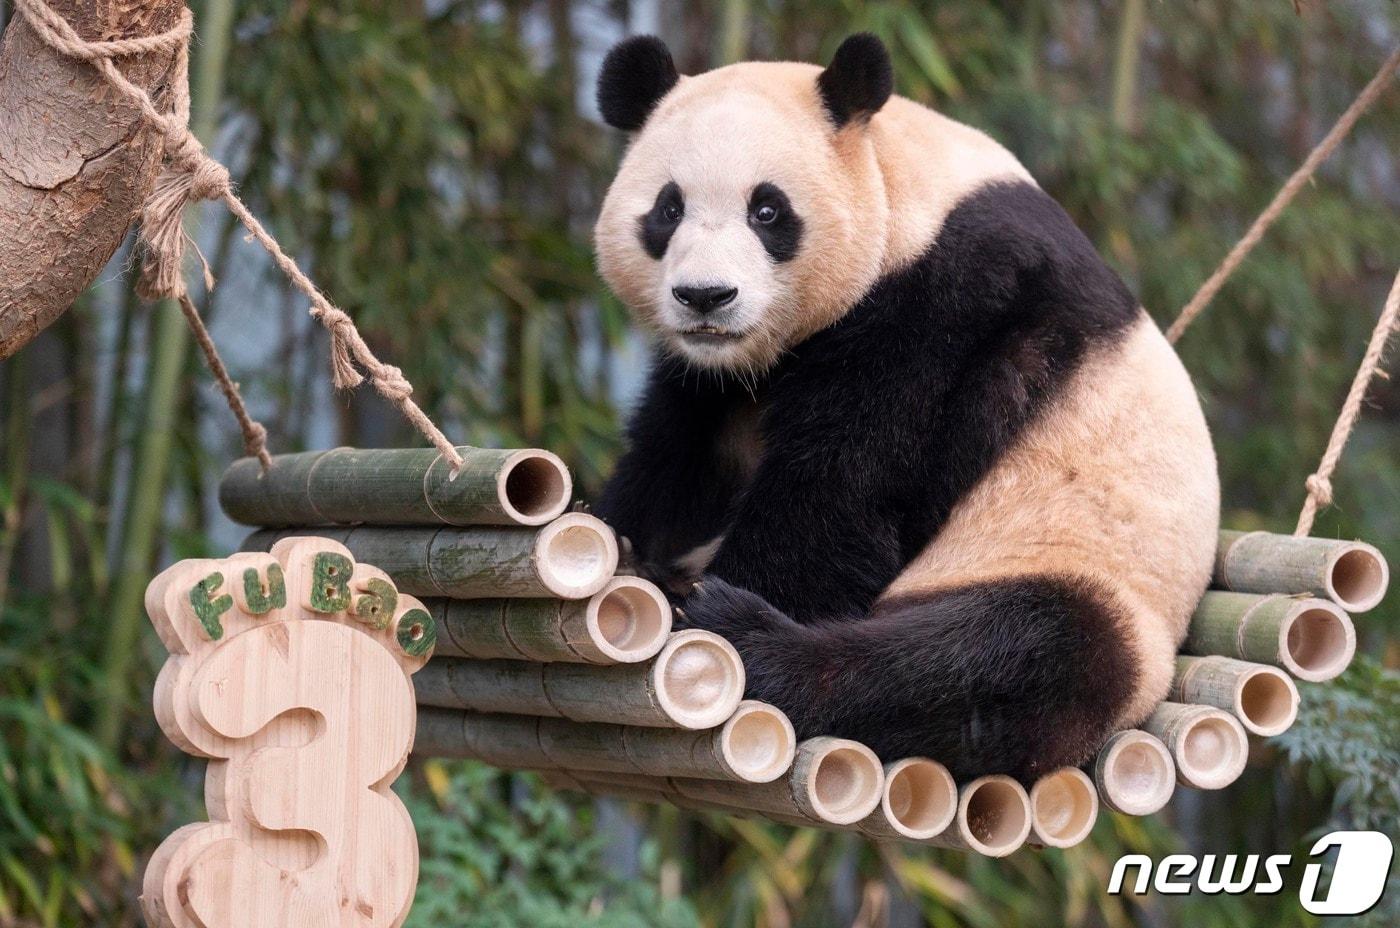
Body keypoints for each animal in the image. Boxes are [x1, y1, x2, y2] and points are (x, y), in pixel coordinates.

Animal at [588, 32, 1215, 778]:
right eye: (668, 209)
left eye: (767, 211)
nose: (705, 297)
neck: (902, 187)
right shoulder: (712, 380)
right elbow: (674, 458)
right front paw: (625, 543)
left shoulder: (948, 303)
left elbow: (843, 493)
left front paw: (715, 589)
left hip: (1084, 571)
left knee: (1006, 656)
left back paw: (748, 635)